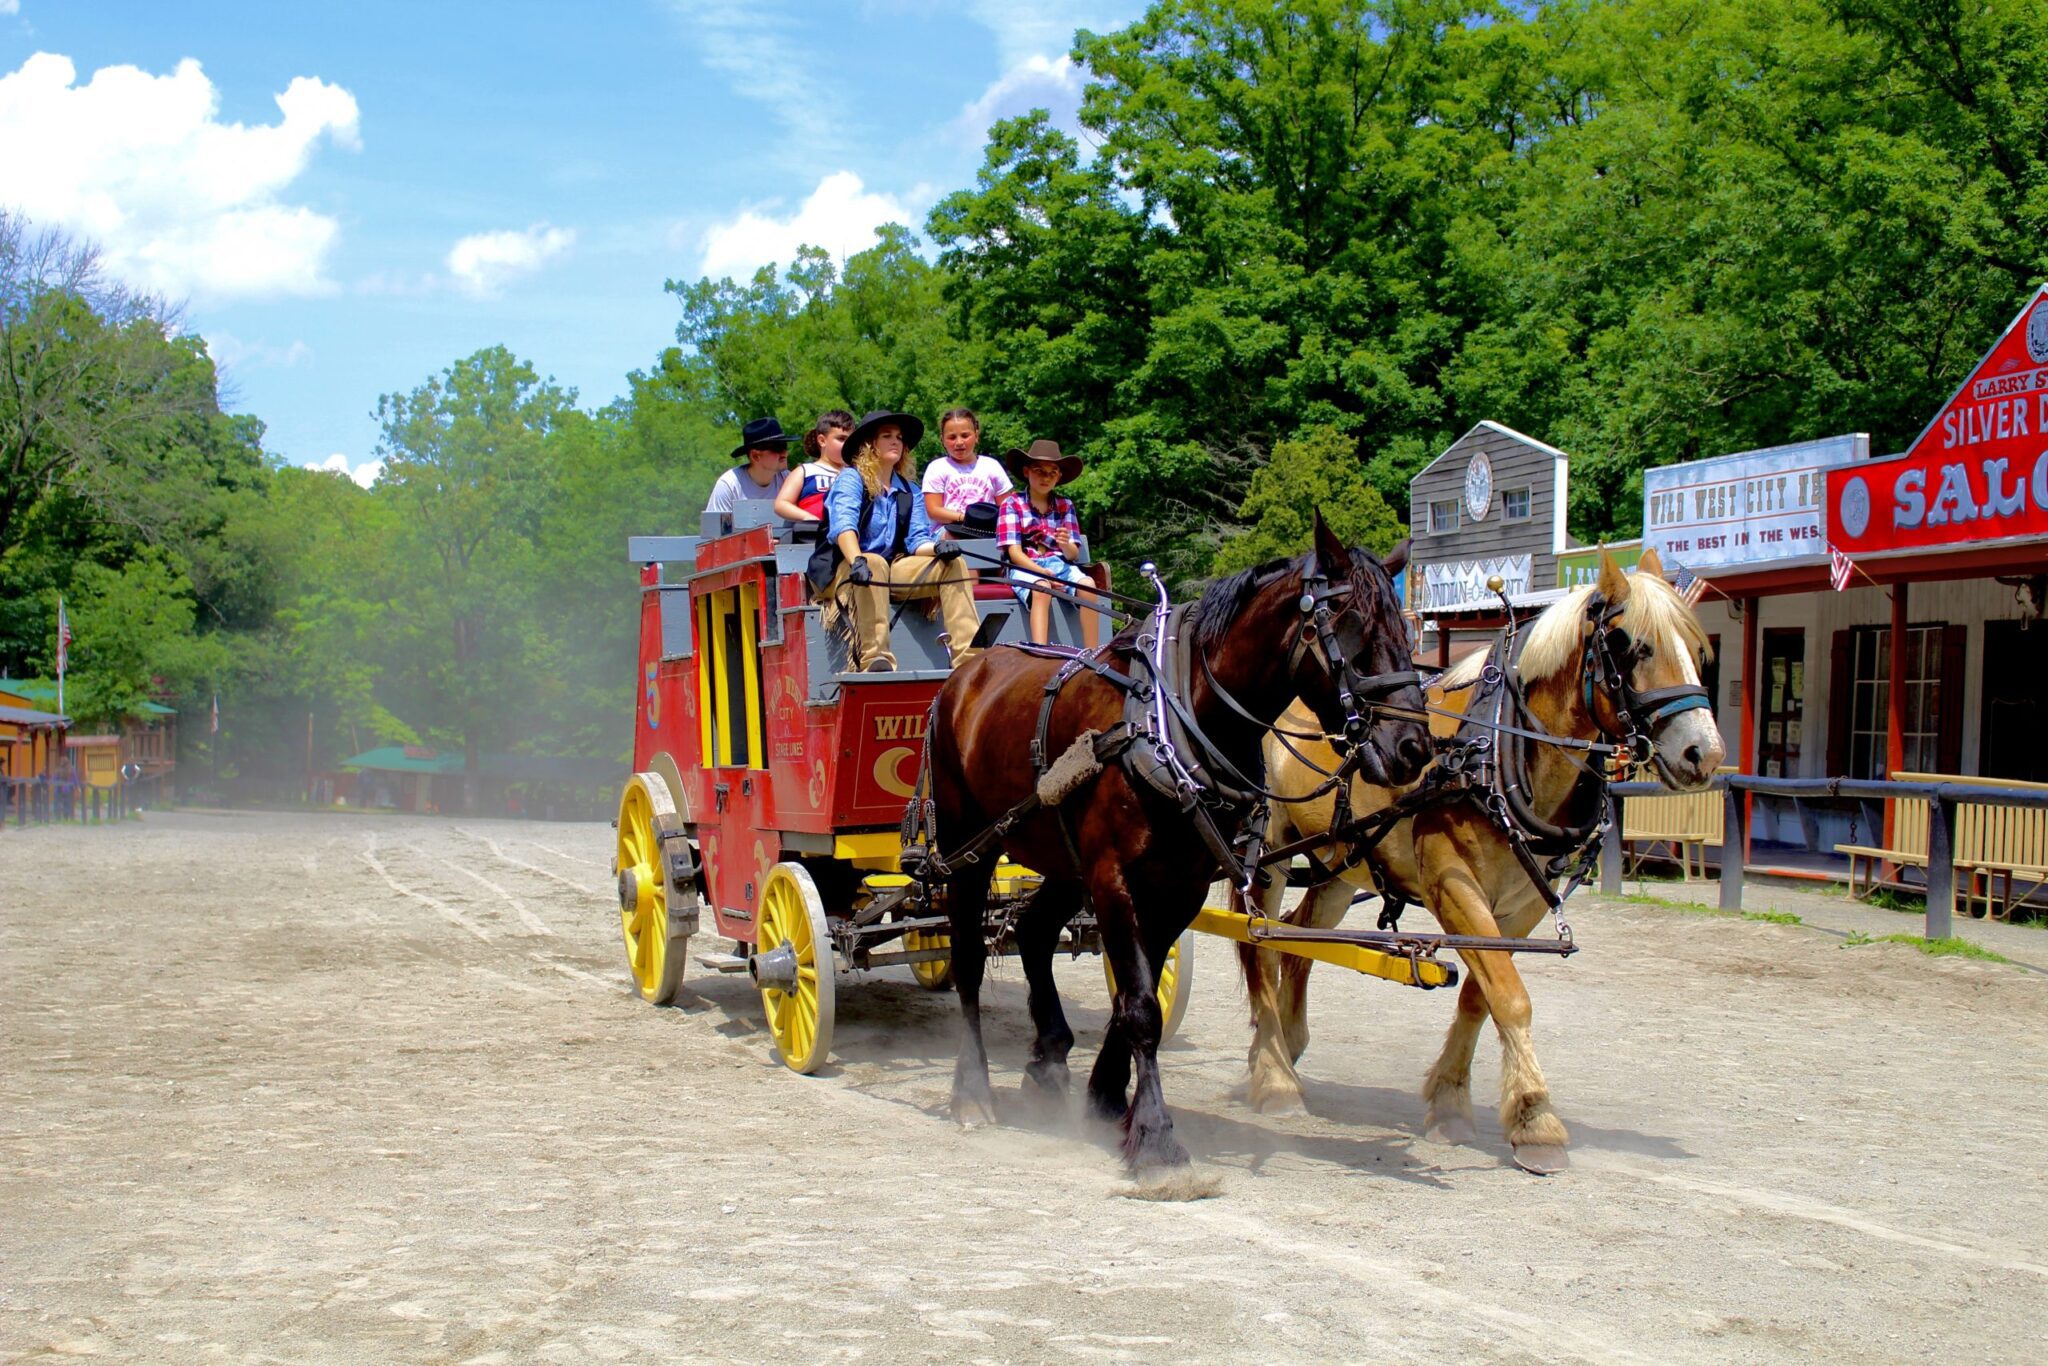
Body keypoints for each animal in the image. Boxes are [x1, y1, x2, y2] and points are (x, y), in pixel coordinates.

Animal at [921, 524, 1433, 1179]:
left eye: (1405, 630)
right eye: (1354, 628)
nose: (1413, 746)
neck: (1173, 720)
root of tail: (967, 670)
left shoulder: (1179, 887)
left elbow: (1131, 1000)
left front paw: (1107, 1098)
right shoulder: (1114, 877)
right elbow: (1141, 1005)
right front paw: (1155, 1137)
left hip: (1062, 858)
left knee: (1033, 933)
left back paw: (1050, 1058)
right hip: (968, 847)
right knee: (966, 958)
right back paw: (972, 1091)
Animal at [1228, 548, 1728, 1171]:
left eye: (1699, 651)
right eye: (1632, 645)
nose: (1704, 754)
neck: (1493, 755)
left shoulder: (1521, 907)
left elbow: (1479, 995)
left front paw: (1453, 1103)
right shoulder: (1453, 886)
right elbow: (1510, 997)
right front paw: (1538, 1120)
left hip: (1345, 862)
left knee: (1297, 938)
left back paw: (1285, 1045)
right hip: (1267, 850)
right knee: (1255, 940)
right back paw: (1272, 1073)